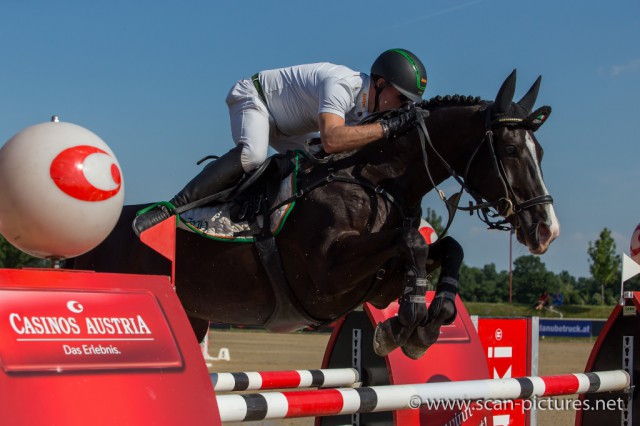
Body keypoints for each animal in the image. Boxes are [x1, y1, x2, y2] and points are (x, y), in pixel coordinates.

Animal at [70, 70, 556, 360]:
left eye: (541, 151)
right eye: (510, 150)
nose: (546, 230)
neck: (378, 181)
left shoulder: (378, 281)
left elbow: (445, 247)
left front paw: (427, 321)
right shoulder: (326, 274)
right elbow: (415, 240)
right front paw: (408, 320)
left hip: (193, 315)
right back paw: (151, 220)